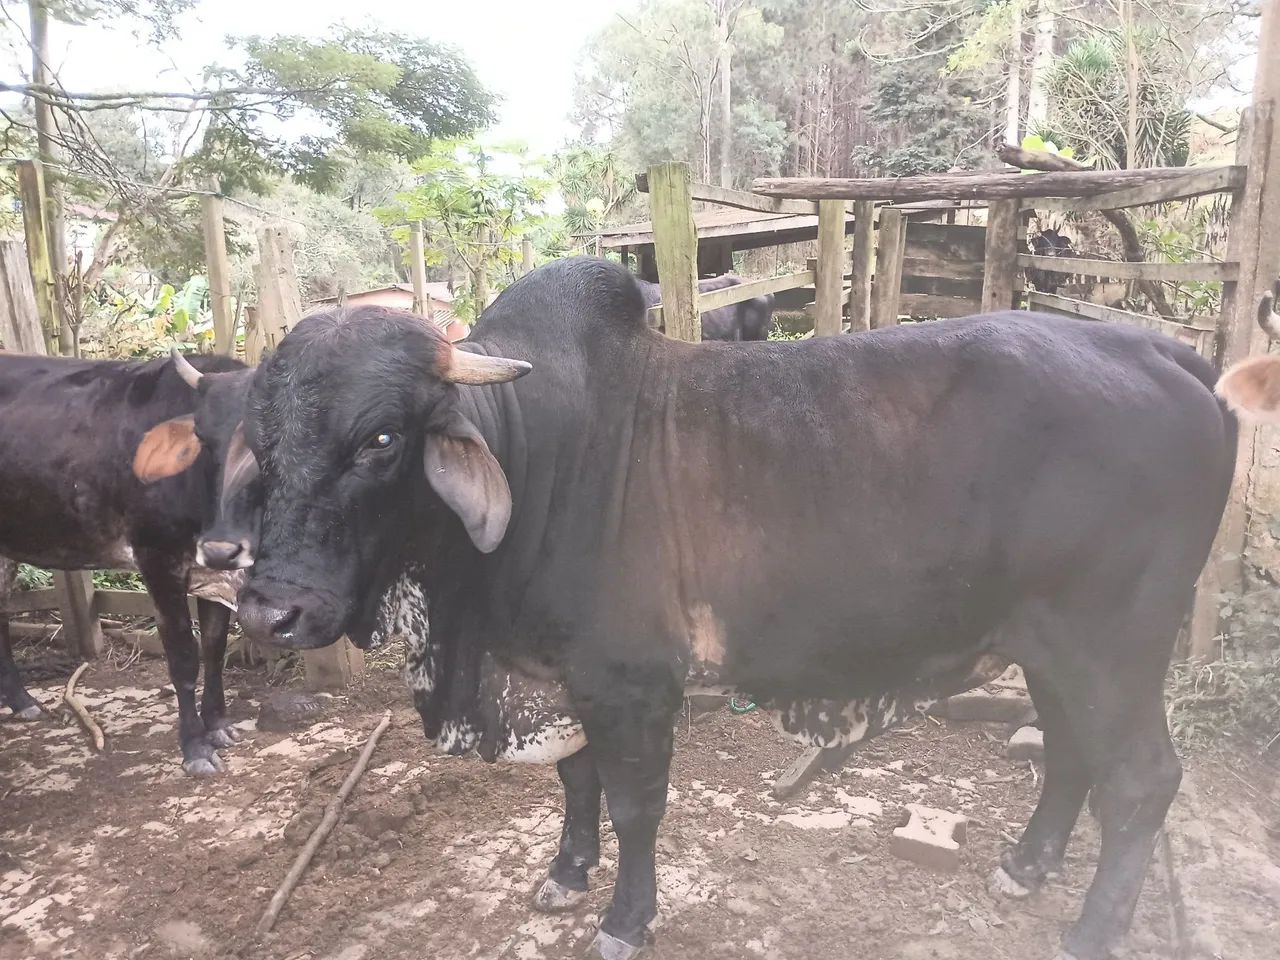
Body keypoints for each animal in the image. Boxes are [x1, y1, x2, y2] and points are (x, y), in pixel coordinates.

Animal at [0, 349, 253, 775]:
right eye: (204, 441)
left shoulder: (218, 571)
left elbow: (215, 647)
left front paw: (218, 725)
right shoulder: (158, 558)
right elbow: (184, 656)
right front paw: (195, 748)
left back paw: (22, 701)